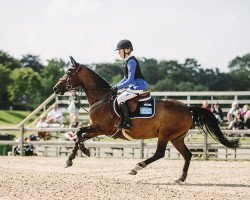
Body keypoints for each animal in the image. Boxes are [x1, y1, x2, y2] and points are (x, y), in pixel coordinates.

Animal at [53, 56, 240, 183]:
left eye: (68, 72)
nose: (55, 88)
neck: (102, 98)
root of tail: (187, 108)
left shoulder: (102, 128)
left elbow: (79, 133)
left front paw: (82, 152)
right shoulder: (97, 128)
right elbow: (80, 135)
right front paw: (71, 159)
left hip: (165, 134)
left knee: (160, 153)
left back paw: (137, 167)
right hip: (177, 137)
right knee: (187, 155)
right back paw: (180, 178)